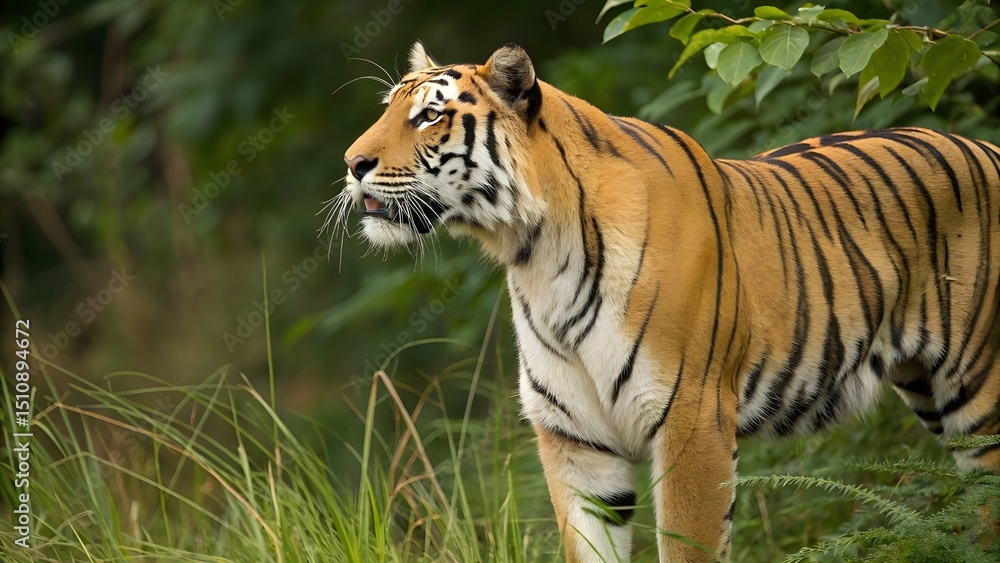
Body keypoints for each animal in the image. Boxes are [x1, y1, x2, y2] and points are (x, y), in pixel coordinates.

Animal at [336, 41, 1000, 562]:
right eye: (389, 109)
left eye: (429, 116)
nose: (352, 163)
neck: (534, 255)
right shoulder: (575, 441)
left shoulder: (692, 419)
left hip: (980, 394)